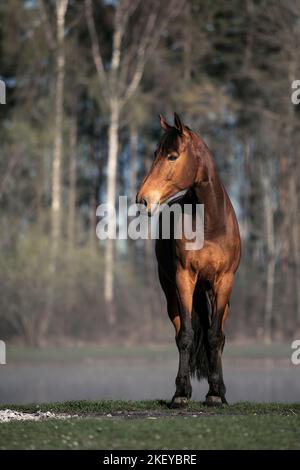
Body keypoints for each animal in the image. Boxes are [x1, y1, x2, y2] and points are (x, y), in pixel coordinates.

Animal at [136, 114, 241, 408]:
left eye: (172, 156)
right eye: (155, 153)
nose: (142, 199)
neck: (210, 224)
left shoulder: (223, 282)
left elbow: (215, 337)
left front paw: (215, 393)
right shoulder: (184, 279)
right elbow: (186, 336)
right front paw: (181, 393)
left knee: (219, 335)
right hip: (172, 294)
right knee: (181, 331)